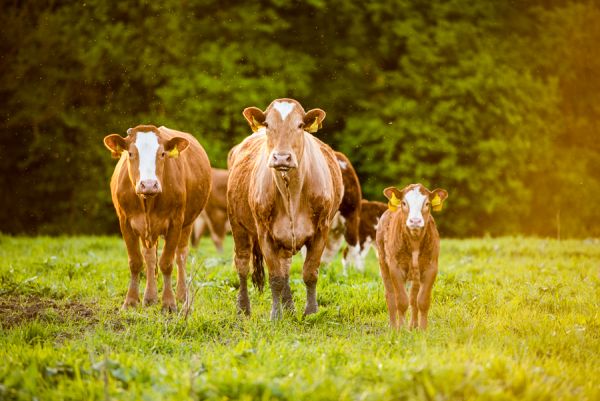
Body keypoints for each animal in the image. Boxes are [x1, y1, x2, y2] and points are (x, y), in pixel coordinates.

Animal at [104, 123, 212, 310]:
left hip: (188, 222)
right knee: (149, 257)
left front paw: (169, 303)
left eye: (162, 154)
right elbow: (136, 262)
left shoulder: (176, 222)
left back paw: (182, 296)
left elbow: (167, 263)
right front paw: (131, 301)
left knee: (181, 255)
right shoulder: (125, 222)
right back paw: (150, 297)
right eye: (130, 153)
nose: (148, 184)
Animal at [229, 97, 344, 318]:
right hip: (238, 226)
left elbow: (309, 273)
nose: (282, 158)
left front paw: (311, 312)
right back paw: (243, 308)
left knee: (286, 268)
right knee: (242, 265)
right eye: (267, 124)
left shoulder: (321, 230)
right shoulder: (264, 233)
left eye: (300, 125)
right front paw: (276, 315)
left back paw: (289, 307)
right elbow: (275, 278)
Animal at [378, 184, 448, 328]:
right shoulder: (395, 267)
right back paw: (393, 326)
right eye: (404, 203)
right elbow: (401, 301)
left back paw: (413, 326)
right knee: (390, 295)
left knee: (413, 297)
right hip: (383, 262)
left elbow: (422, 301)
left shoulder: (431, 267)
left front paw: (422, 329)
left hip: (415, 273)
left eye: (427, 203)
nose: (415, 221)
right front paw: (401, 329)